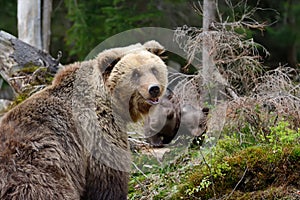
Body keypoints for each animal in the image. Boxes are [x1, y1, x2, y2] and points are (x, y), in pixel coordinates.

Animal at [0, 41, 169, 200]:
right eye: (135, 74)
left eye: (154, 69)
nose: (154, 89)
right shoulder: (95, 129)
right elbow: (108, 176)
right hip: (36, 173)